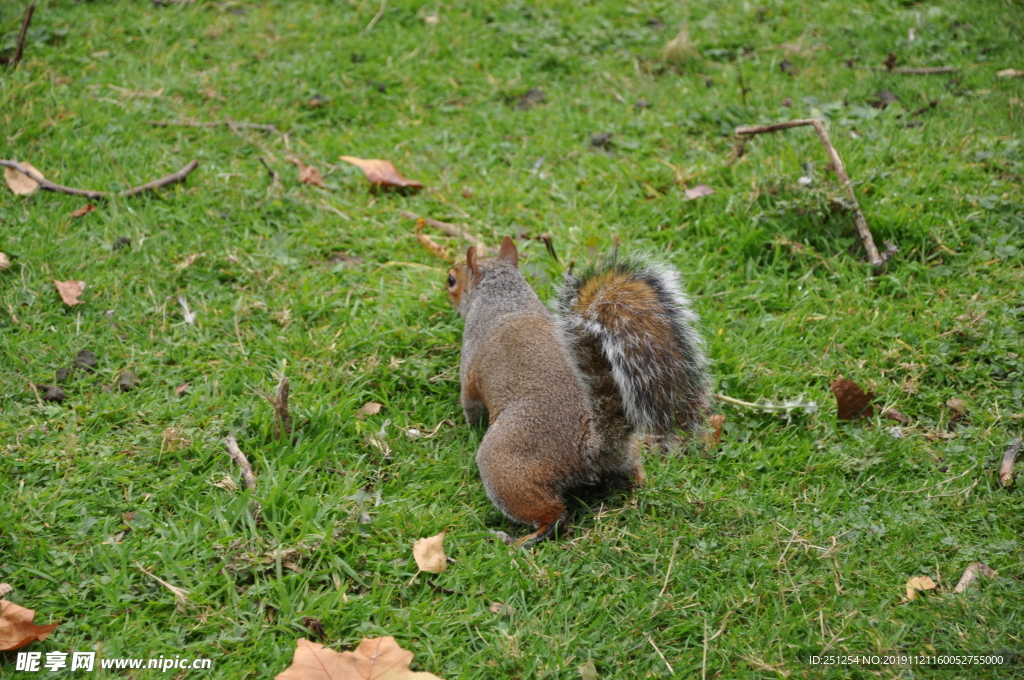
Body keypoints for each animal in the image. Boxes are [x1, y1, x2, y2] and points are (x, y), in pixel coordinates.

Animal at [448, 236, 712, 544]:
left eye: (452, 279)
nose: (446, 284)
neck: (506, 299)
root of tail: (592, 447)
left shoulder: (469, 365)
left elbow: (470, 405)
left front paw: (469, 425)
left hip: (505, 466)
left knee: (553, 516)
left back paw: (518, 540)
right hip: (625, 458)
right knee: (632, 477)